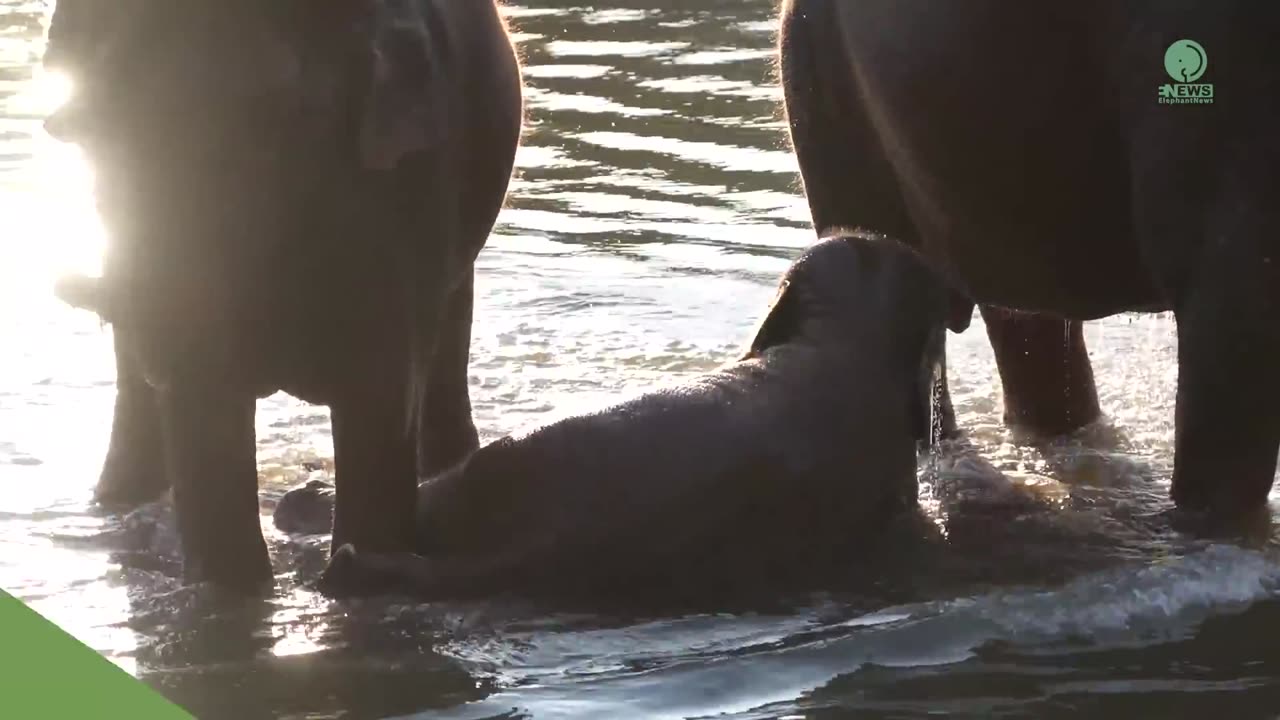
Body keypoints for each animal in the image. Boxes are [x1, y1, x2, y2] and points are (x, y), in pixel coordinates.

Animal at [43, 0, 524, 589]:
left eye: (267, 126)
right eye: (89, 133)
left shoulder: (407, 187)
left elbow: (378, 400)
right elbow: (207, 409)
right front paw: (231, 592)